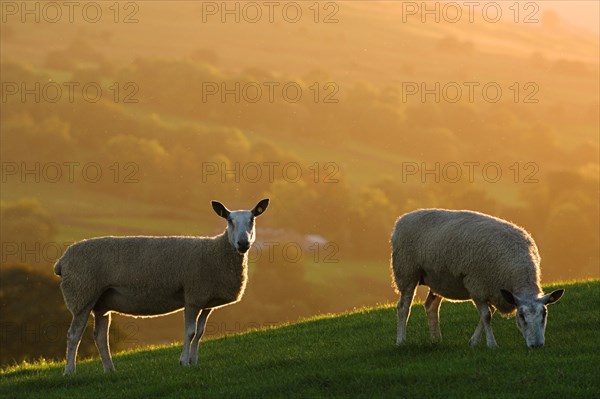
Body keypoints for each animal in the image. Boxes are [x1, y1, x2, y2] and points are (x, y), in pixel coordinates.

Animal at [54, 199, 270, 376]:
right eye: (229, 220)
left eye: (252, 219)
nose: (243, 243)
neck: (216, 251)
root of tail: (62, 261)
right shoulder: (192, 296)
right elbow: (190, 332)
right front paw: (183, 362)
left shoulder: (205, 301)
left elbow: (200, 333)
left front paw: (194, 361)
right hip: (82, 294)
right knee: (73, 335)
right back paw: (70, 372)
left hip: (100, 303)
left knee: (100, 337)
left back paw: (110, 370)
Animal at [392, 209, 564, 350]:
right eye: (521, 316)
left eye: (544, 314)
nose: (537, 345)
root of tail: (403, 218)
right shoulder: (477, 286)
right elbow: (487, 316)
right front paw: (492, 344)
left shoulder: (493, 290)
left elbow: (487, 313)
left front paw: (473, 342)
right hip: (406, 271)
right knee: (403, 307)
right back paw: (401, 341)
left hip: (438, 279)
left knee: (431, 306)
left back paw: (436, 339)